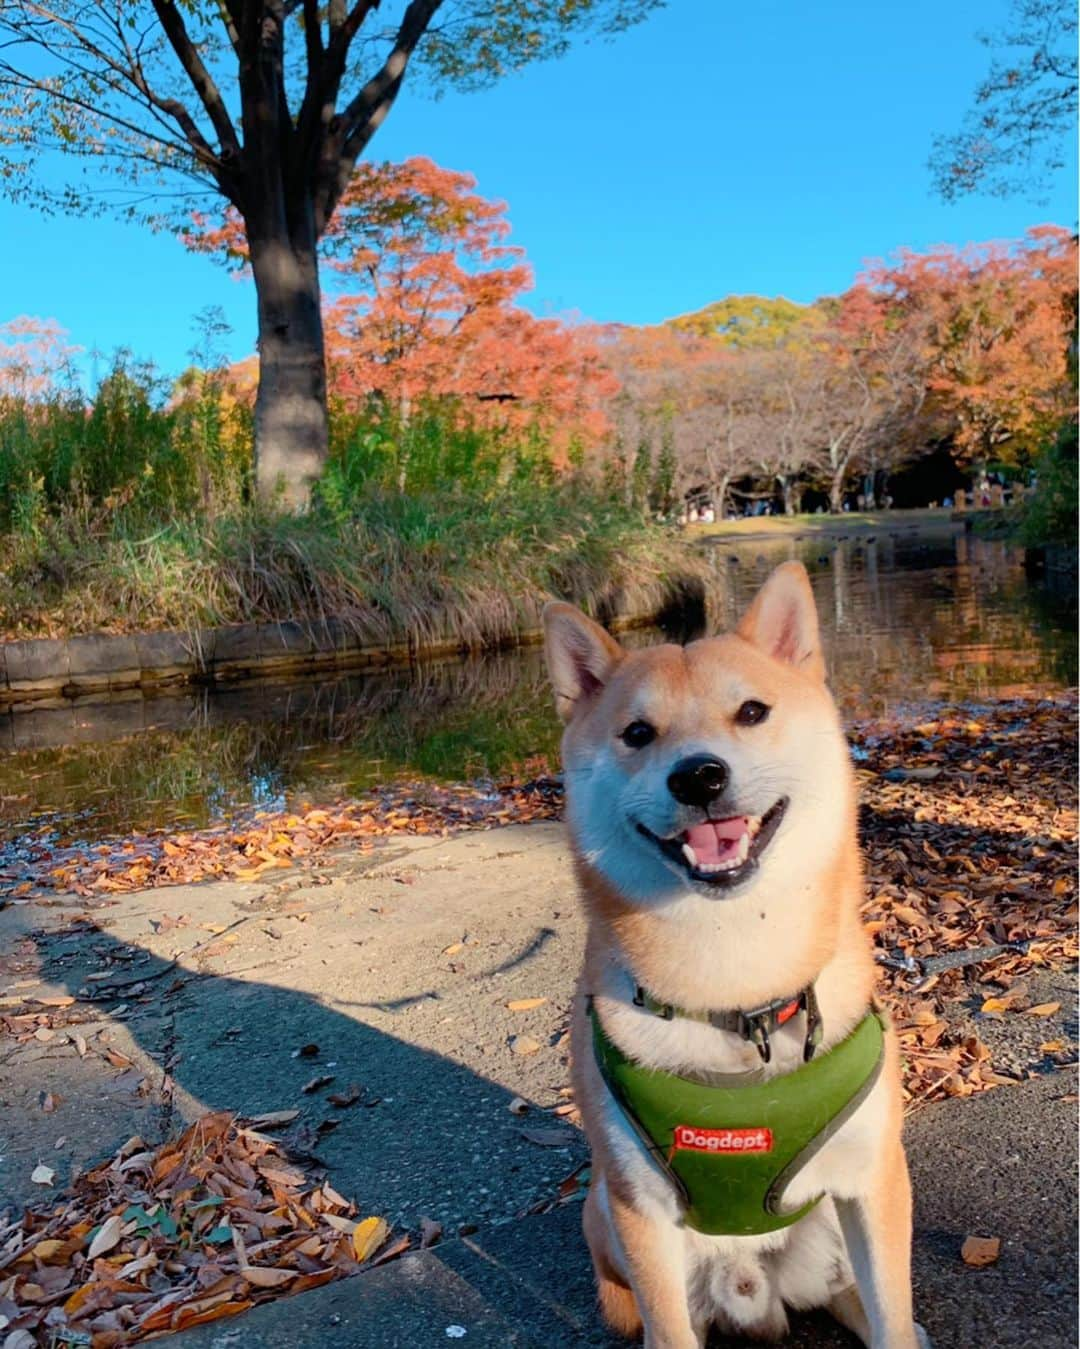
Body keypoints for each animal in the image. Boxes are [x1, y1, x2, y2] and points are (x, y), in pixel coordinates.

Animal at [544, 563, 922, 1349]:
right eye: (637, 733)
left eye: (752, 711)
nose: (698, 776)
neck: (735, 991)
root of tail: (755, 1292)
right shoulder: (640, 1211)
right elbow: (669, 1332)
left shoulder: (873, 1178)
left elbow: (892, 1315)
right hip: (601, 1211)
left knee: (855, 1297)